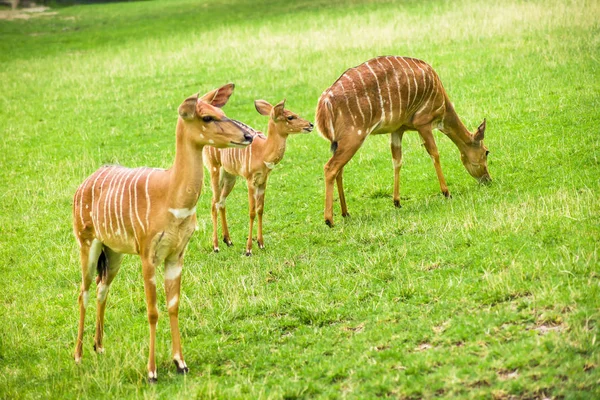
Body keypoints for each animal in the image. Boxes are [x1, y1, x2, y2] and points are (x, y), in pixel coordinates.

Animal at [71, 83, 254, 382]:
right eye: (207, 117)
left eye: (221, 112)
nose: (248, 135)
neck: (171, 196)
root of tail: (82, 185)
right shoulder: (148, 255)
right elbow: (152, 310)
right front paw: (152, 371)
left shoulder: (176, 255)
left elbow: (174, 305)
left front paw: (181, 363)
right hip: (87, 243)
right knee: (83, 291)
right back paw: (78, 356)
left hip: (114, 252)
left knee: (102, 288)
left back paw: (99, 347)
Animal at [203, 100, 314, 256]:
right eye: (290, 117)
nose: (310, 125)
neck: (263, 151)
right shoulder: (250, 180)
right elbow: (251, 212)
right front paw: (248, 249)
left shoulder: (263, 181)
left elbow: (260, 209)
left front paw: (261, 244)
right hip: (215, 169)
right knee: (214, 202)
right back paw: (216, 246)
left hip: (230, 176)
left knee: (221, 202)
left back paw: (228, 241)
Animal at [314, 55, 492, 225]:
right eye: (486, 152)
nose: (488, 180)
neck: (442, 104)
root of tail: (324, 102)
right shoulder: (423, 122)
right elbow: (434, 153)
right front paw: (446, 192)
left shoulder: (398, 129)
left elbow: (397, 161)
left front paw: (397, 201)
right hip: (354, 137)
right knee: (330, 167)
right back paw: (329, 220)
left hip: (340, 142)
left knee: (339, 170)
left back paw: (346, 213)